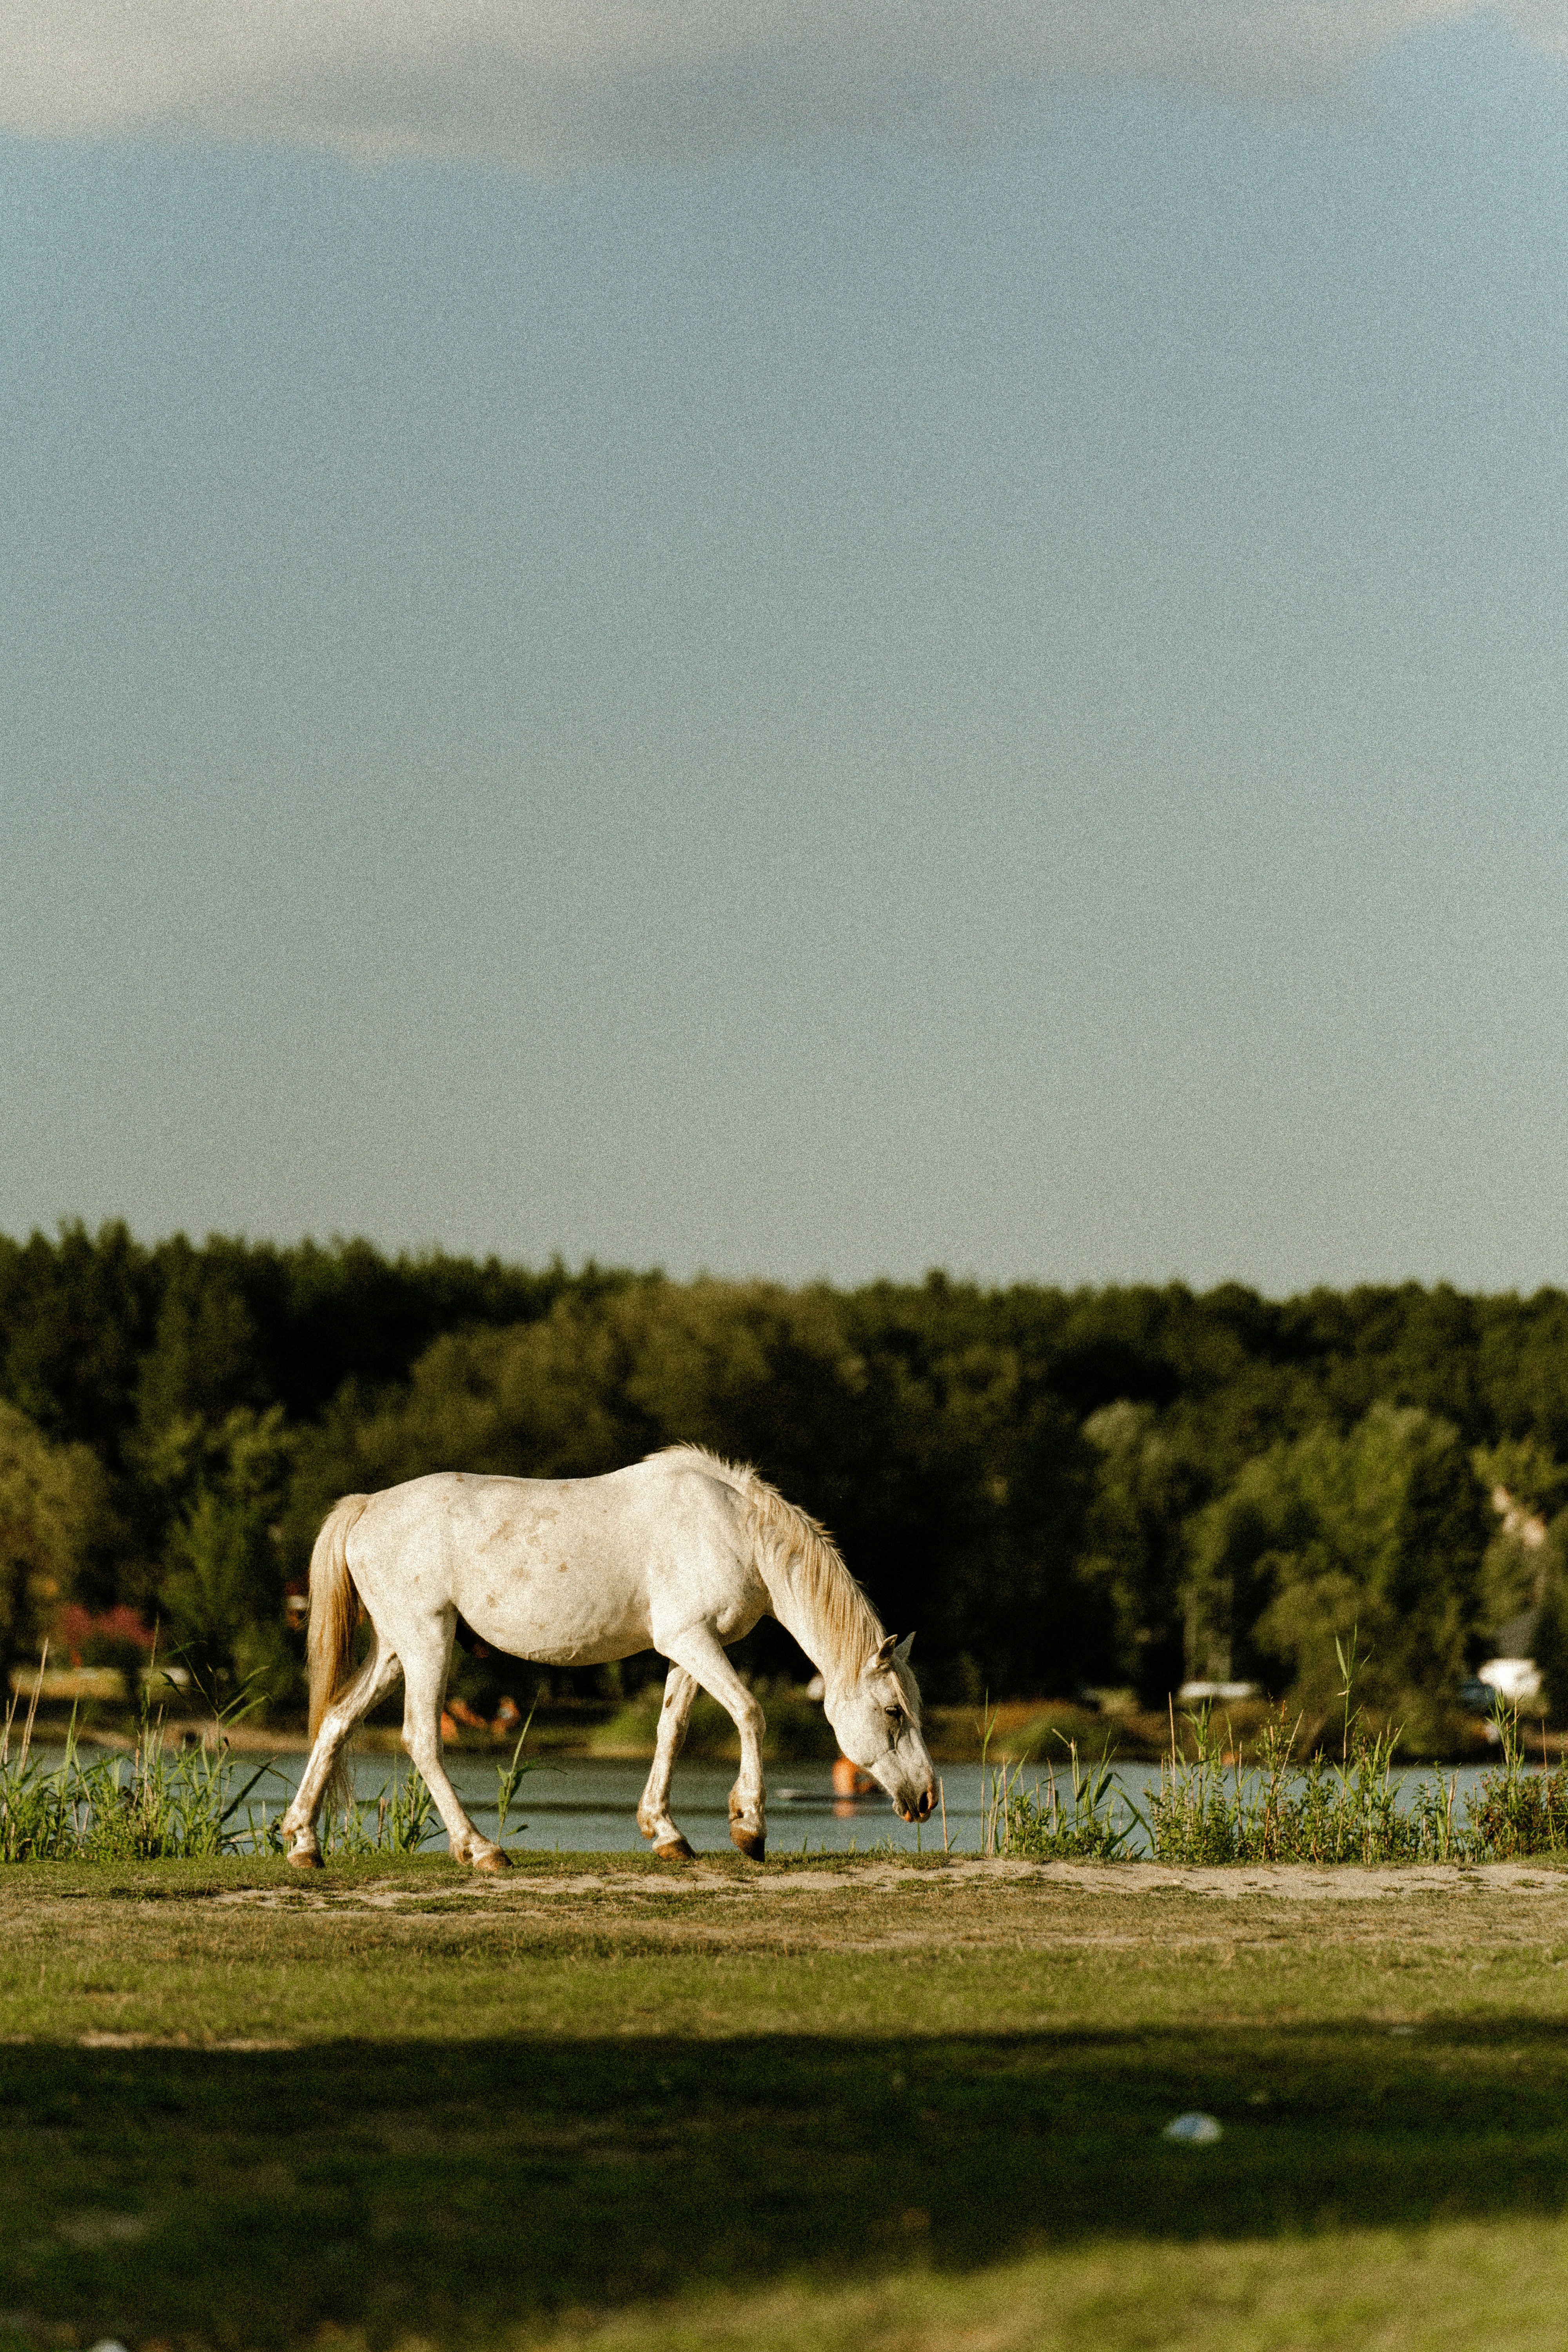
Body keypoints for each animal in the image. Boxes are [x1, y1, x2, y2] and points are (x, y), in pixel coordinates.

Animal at [279, 1444, 937, 1869]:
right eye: (894, 1712)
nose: (928, 1798)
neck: (736, 1530)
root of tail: (367, 1506)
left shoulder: (689, 1649)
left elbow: (671, 1731)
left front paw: (665, 1833)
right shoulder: (691, 1640)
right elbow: (750, 1713)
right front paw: (748, 1827)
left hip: (395, 1651)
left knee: (337, 1722)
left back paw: (303, 1842)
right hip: (427, 1642)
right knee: (421, 1737)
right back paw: (481, 1850)